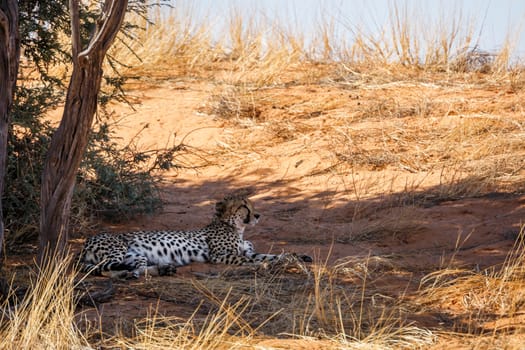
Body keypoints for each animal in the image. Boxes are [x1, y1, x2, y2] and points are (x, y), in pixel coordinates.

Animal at [78, 190, 312, 278]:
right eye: (244, 206)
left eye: (251, 205)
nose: (258, 215)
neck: (235, 228)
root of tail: (85, 242)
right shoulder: (221, 256)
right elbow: (256, 260)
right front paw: (264, 265)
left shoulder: (248, 251)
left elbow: (275, 254)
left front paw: (298, 256)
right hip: (117, 251)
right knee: (105, 270)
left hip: (137, 256)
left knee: (136, 268)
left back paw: (162, 269)